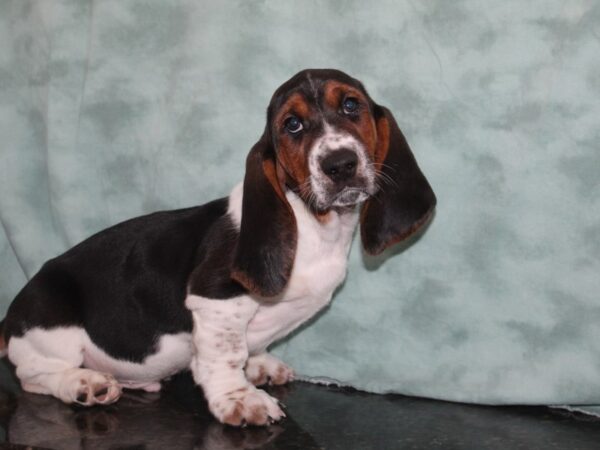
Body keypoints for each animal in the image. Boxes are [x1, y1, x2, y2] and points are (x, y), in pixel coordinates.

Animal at [0, 68, 436, 428]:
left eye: (351, 105)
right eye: (292, 124)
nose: (340, 164)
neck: (315, 224)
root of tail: (10, 320)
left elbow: (248, 347)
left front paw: (259, 365)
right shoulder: (216, 300)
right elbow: (224, 355)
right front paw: (241, 400)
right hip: (53, 325)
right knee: (33, 374)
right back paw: (84, 384)